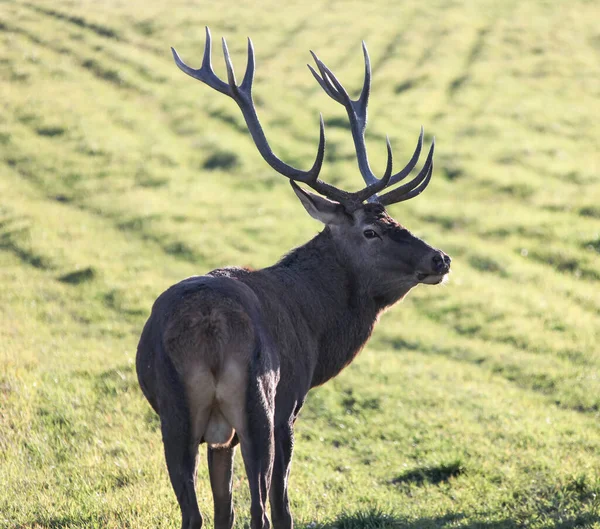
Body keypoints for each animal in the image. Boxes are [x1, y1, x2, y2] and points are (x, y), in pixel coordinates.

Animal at [137, 26, 450, 528]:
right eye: (371, 231)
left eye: (394, 219)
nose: (440, 259)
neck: (317, 329)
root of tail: (209, 329)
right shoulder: (291, 404)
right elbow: (279, 503)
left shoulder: (219, 436)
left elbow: (223, 508)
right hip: (259, 405)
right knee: (263, 510)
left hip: (174, 414)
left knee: (197, 513)